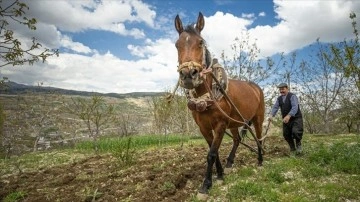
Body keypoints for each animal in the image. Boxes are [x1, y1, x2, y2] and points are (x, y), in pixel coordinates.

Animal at [174, 12, 264, 194]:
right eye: (176, 45)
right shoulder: (204, 127)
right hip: (235, 121)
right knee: (237, 139)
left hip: (258, 118)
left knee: (258, 137)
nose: (188, 75)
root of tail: (256, 87)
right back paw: (230, 163)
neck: (206, 96)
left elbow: (211, 154)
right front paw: (220, 174)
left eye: (200, 42)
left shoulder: (220, 124)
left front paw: (206, 185)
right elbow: (212, 151)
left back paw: (260, 159)